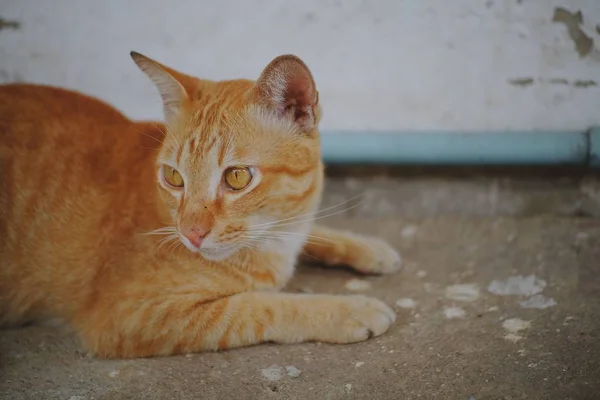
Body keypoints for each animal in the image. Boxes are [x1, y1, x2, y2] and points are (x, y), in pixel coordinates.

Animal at [1, 52, 404, 356]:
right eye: (173, 177)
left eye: (237, 177)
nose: (190, 235)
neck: (275, 240)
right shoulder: (131, 315)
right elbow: (260, 305)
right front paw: (346, 309)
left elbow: (316, 231)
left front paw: (366, 247)